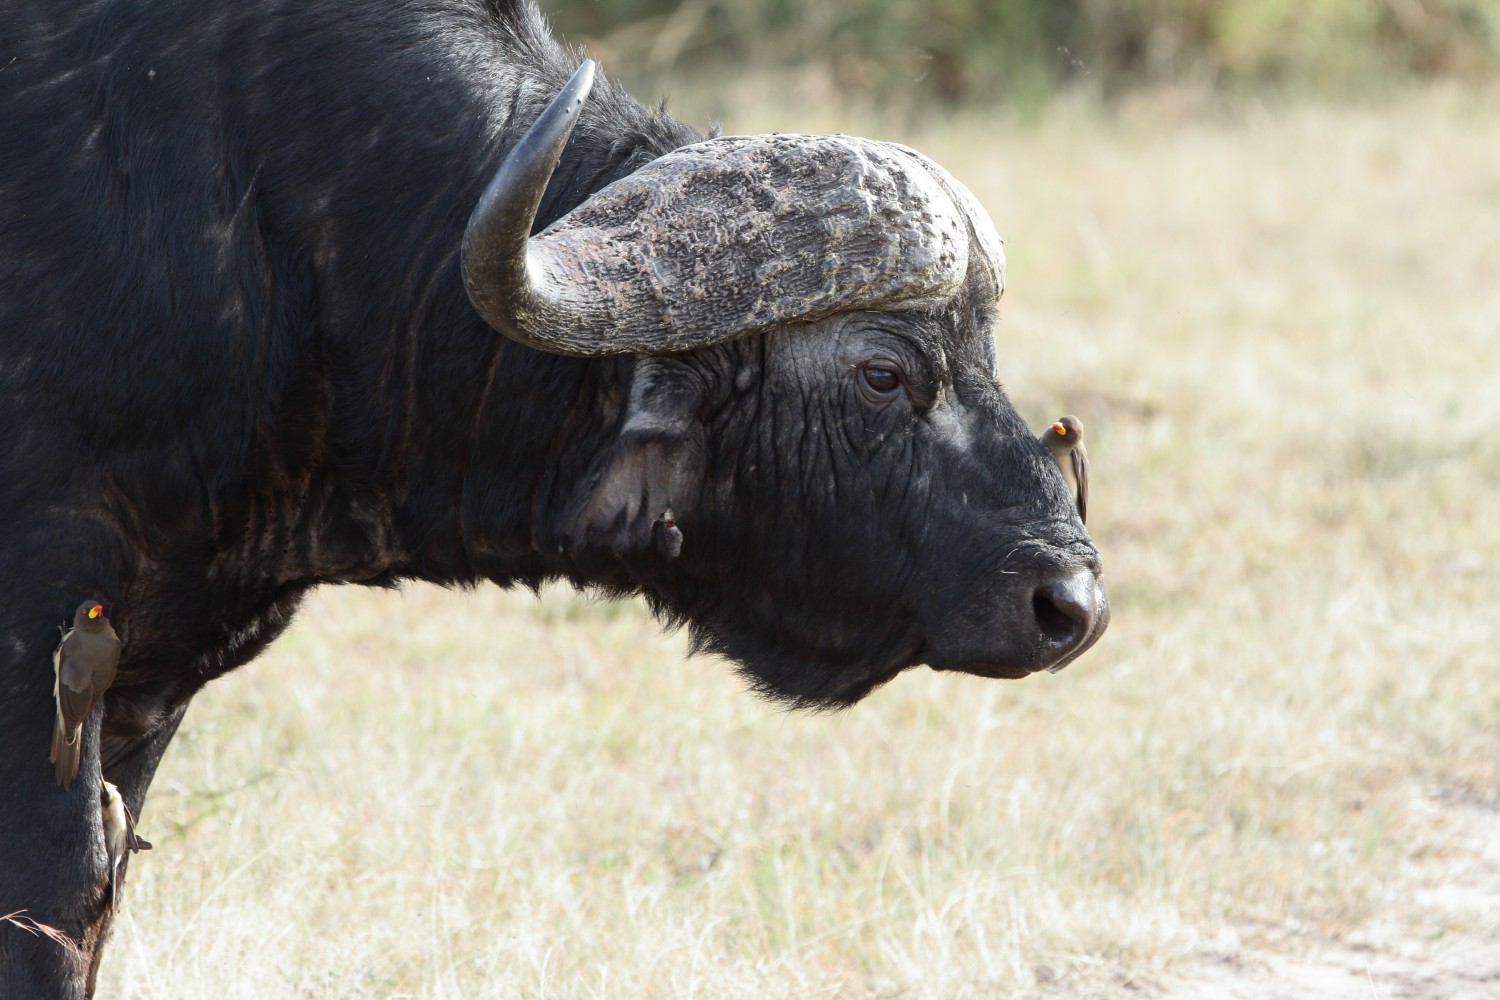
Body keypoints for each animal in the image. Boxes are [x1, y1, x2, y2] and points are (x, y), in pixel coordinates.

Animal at [0, 0, 1107, 994]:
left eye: (987, 357)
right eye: (882, 372)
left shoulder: (148, 689)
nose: (1071, 604)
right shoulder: (44, 656)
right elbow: (55, 906)